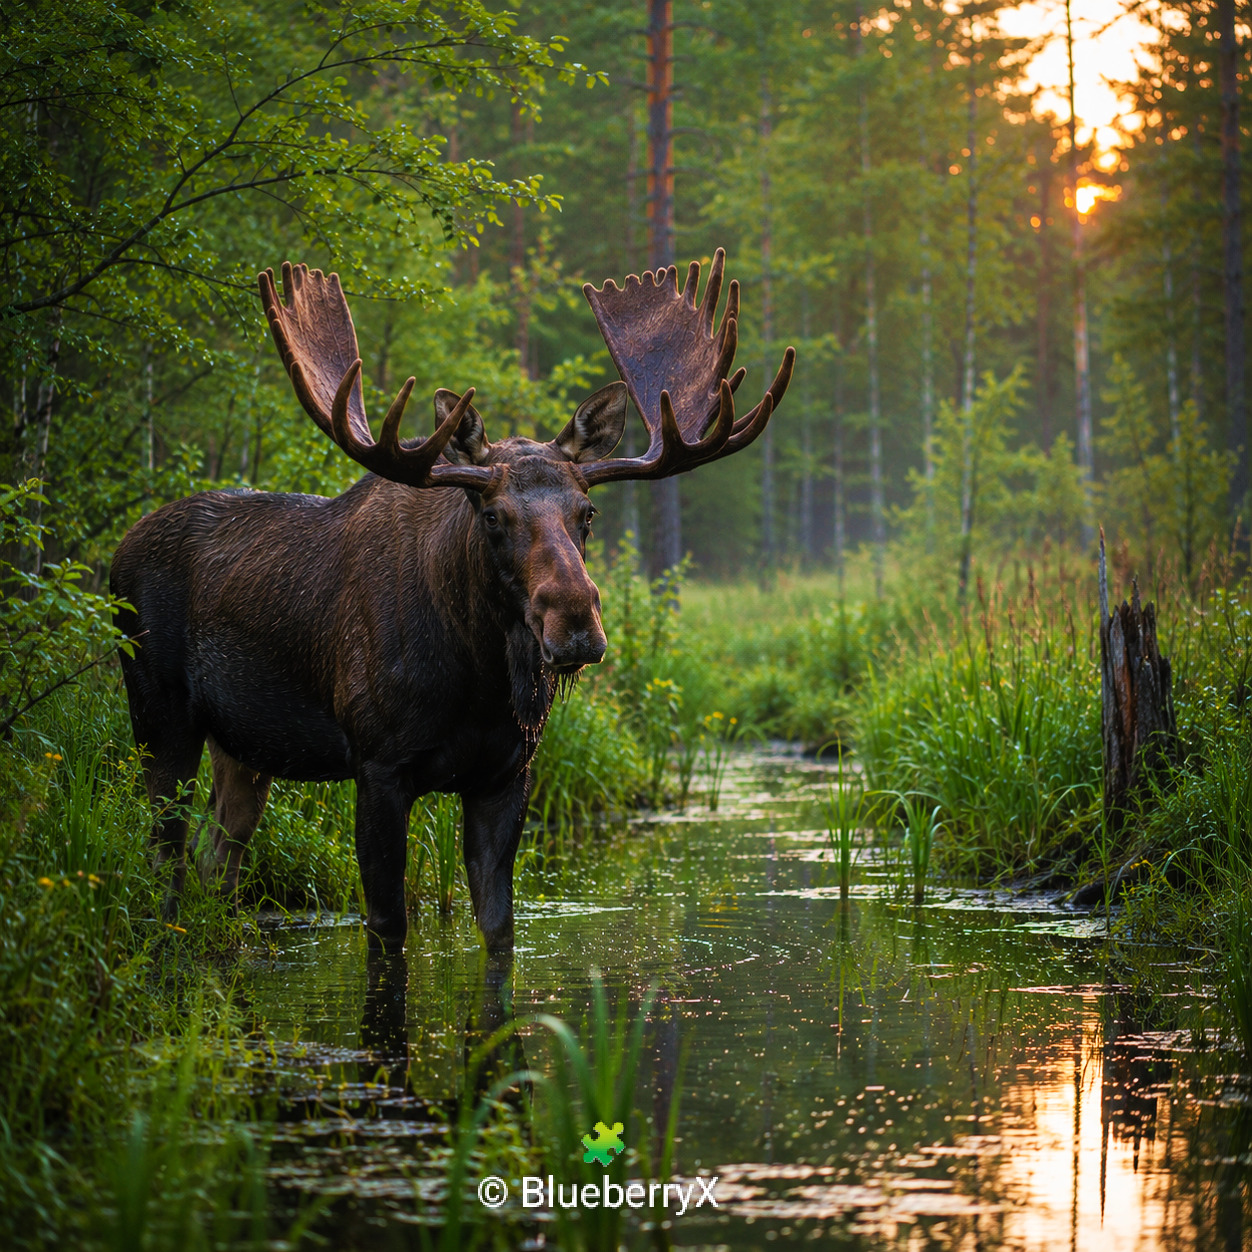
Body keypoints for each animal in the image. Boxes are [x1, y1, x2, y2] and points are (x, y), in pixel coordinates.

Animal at [111, 250, 793, 954]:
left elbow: (498, 927)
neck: (479, 683)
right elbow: (388, 929)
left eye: (588, 512)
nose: (575, 621)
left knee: (215, 859)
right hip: (160, 713)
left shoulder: (508, 774)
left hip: (245, 747)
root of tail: (119, 550)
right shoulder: (378, 765)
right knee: (162, 856)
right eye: (492, 515)